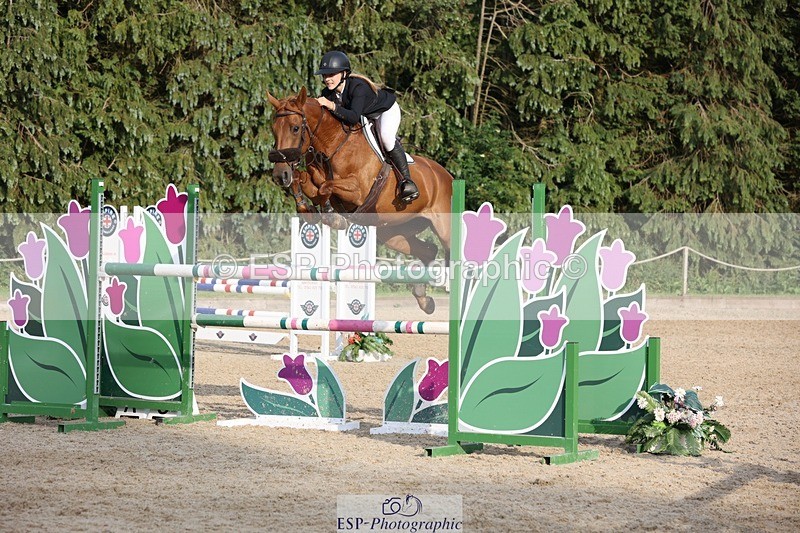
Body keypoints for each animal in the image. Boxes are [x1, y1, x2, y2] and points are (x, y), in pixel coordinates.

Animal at [266, 87, 454, 314]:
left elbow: (325, 186)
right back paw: (423, 299)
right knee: (428, 250)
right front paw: (307, 210)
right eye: (274, 130)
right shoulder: (313, 181)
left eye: (295, 128)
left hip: (443, 228)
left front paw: (332, 216)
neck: (333, 145)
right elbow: (302, 180)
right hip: (394, 233)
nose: (279, 175)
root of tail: (447, 176)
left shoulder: (358, 191)